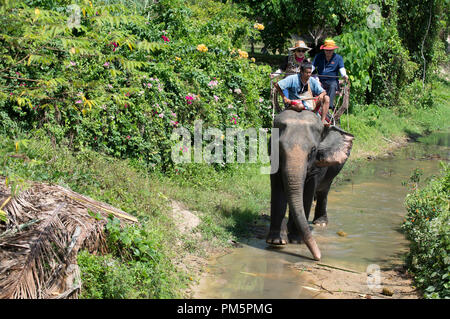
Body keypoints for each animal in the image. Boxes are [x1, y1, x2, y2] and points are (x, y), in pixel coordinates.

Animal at [266, 109, 354, 262]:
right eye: (279, 148)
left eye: (313, 150)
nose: (318, 257)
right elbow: (278, 192)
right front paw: (276, 241)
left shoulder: (317, 166)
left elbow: (307, 193)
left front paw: (296, 241)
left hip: (332, 171)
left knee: (324, 191)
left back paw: (320, 223)